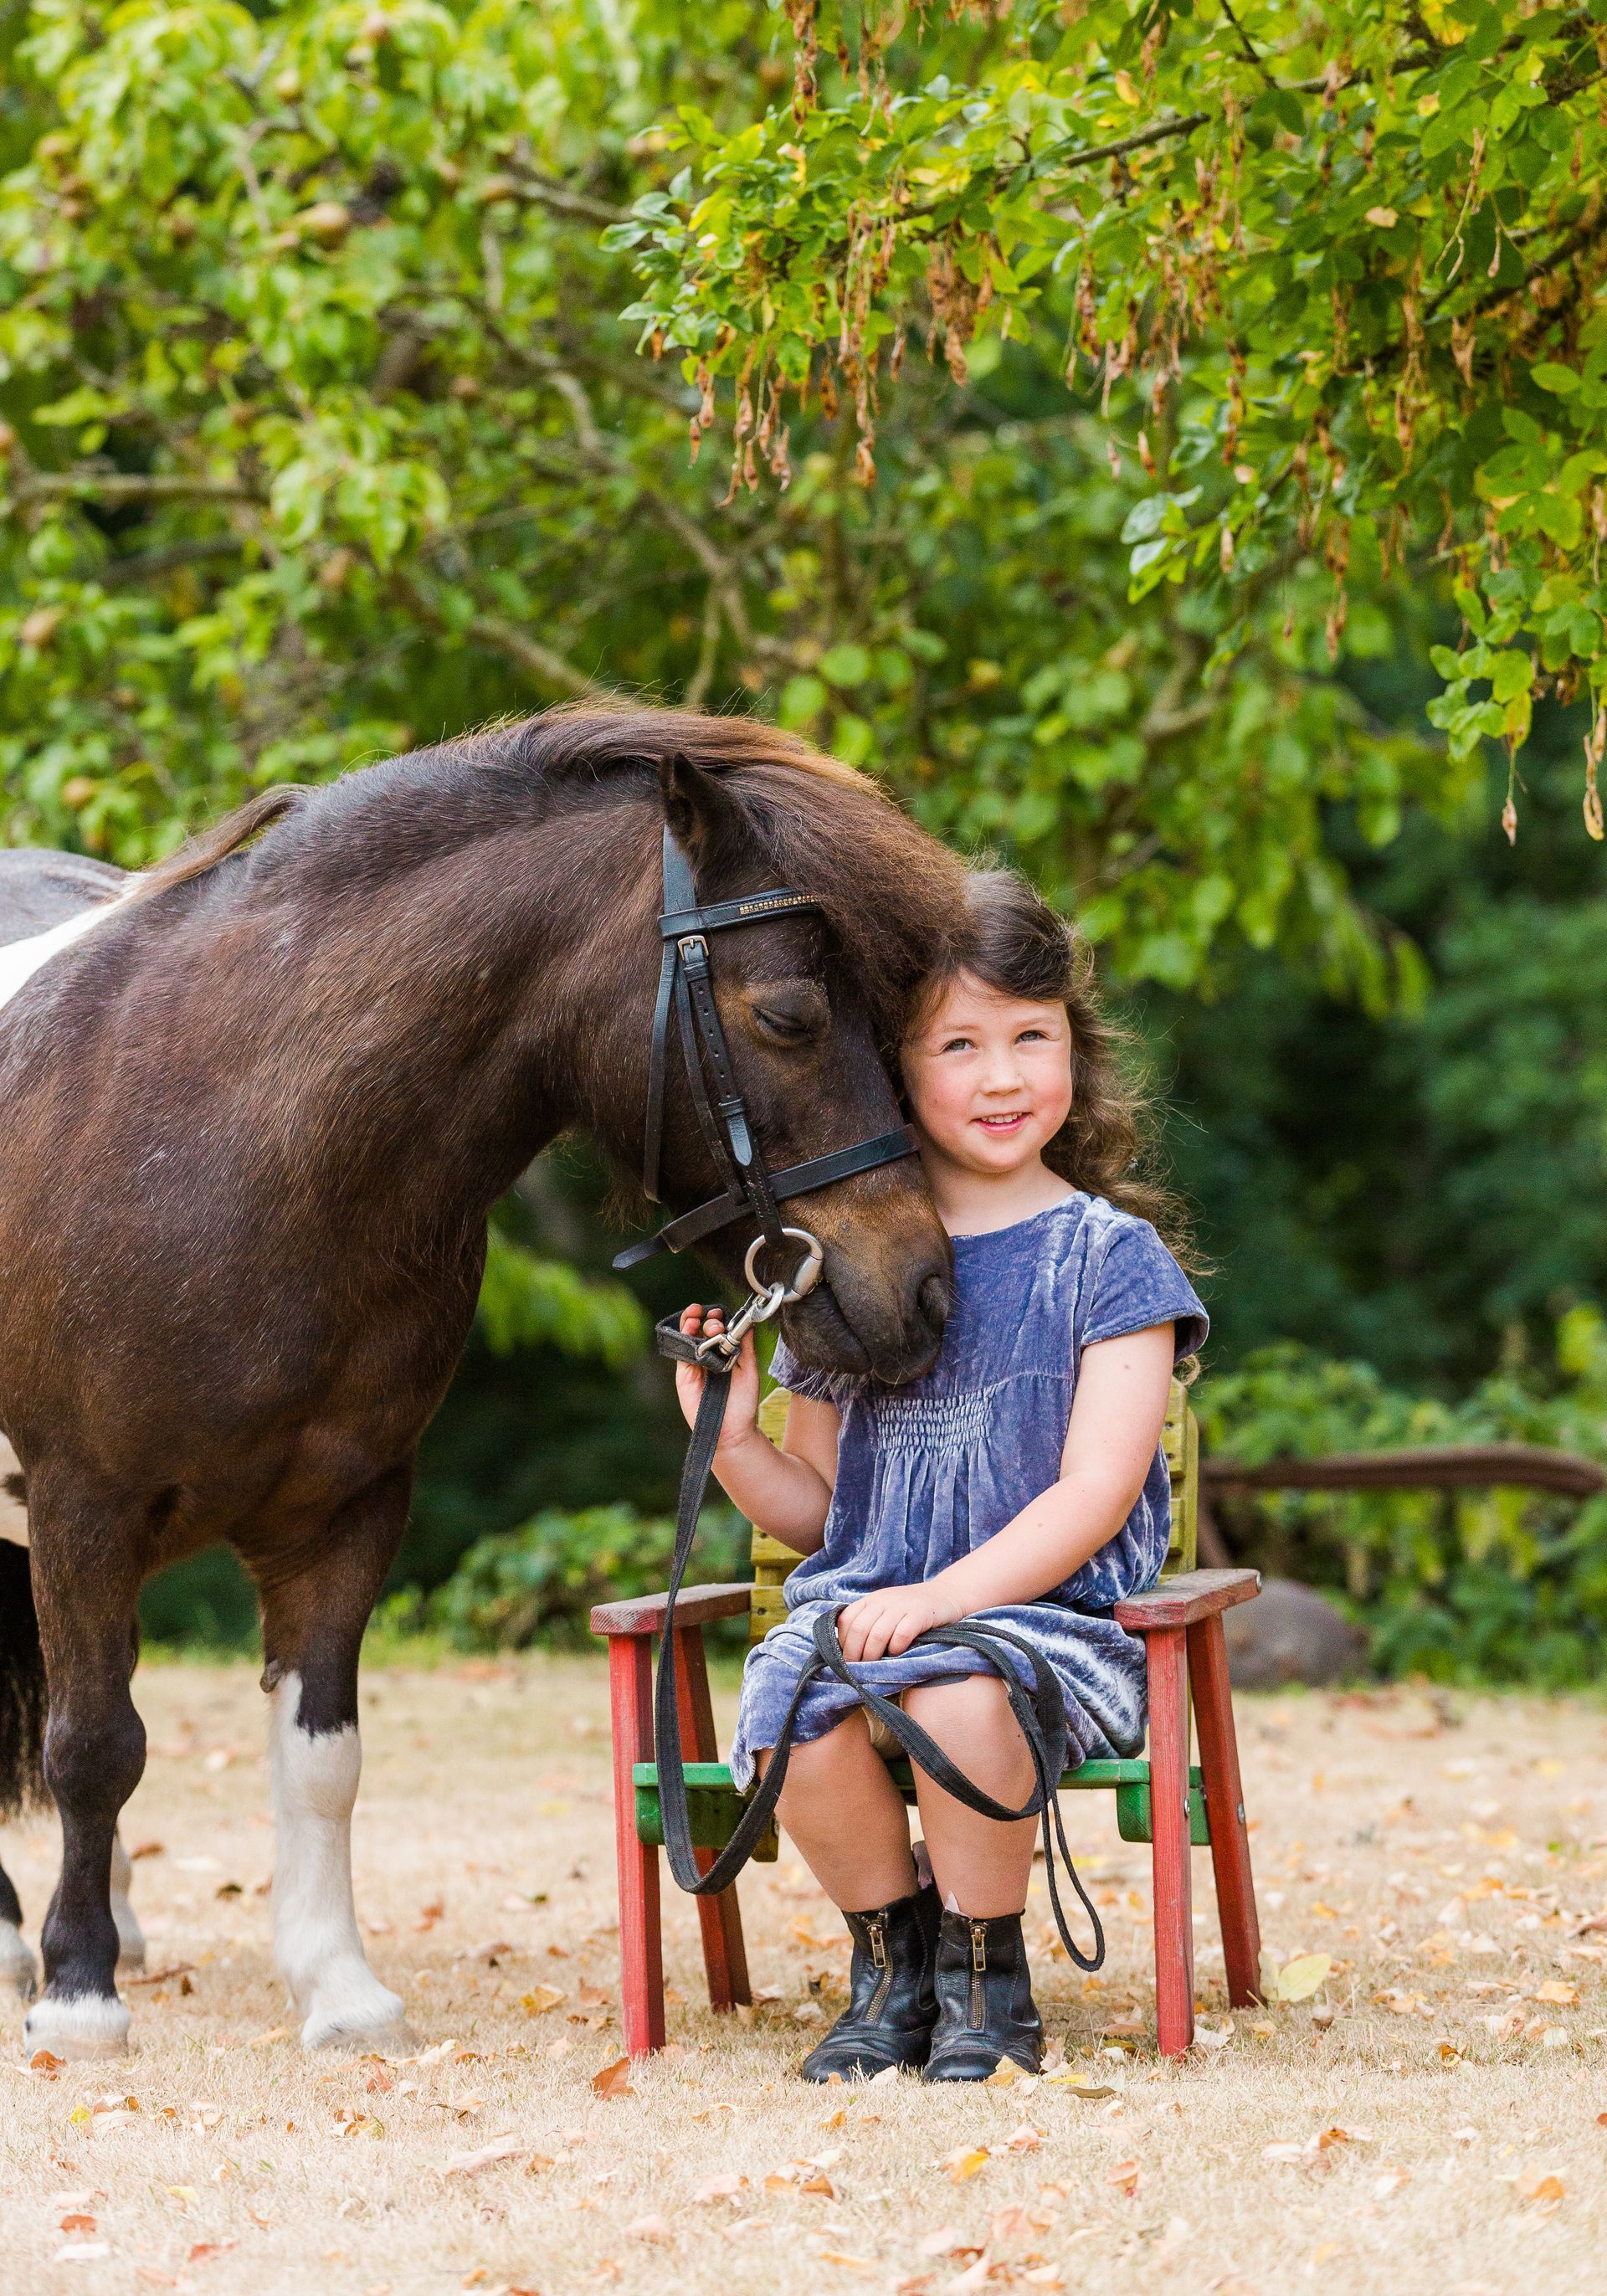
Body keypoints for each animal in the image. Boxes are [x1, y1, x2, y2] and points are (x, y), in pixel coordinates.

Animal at [0, 703, 962, 2060]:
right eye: (787, 1016)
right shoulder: (85, 1506)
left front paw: (338, 1992)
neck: (223, 1127)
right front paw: (78, 1999)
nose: (924, 1290)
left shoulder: (344, 1514)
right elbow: (94, 1744)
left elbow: (322, 1758)